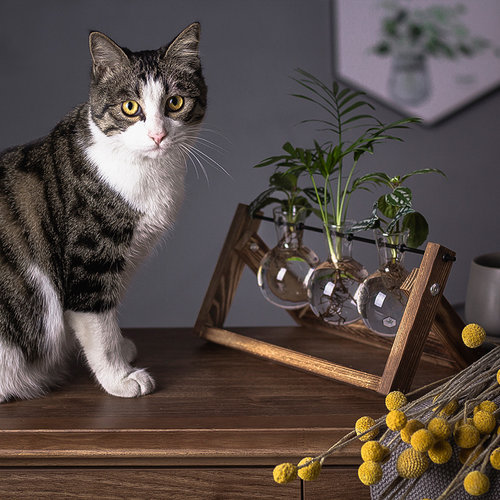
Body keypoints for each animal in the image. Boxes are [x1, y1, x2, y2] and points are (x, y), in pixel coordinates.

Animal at [0, 23, 207, 402]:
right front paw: (119, 377)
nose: (157, 135)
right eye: (130, 107)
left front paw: (122, 350)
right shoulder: (91, 257)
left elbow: (106, 318)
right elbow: (96, 322)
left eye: (175, 102)